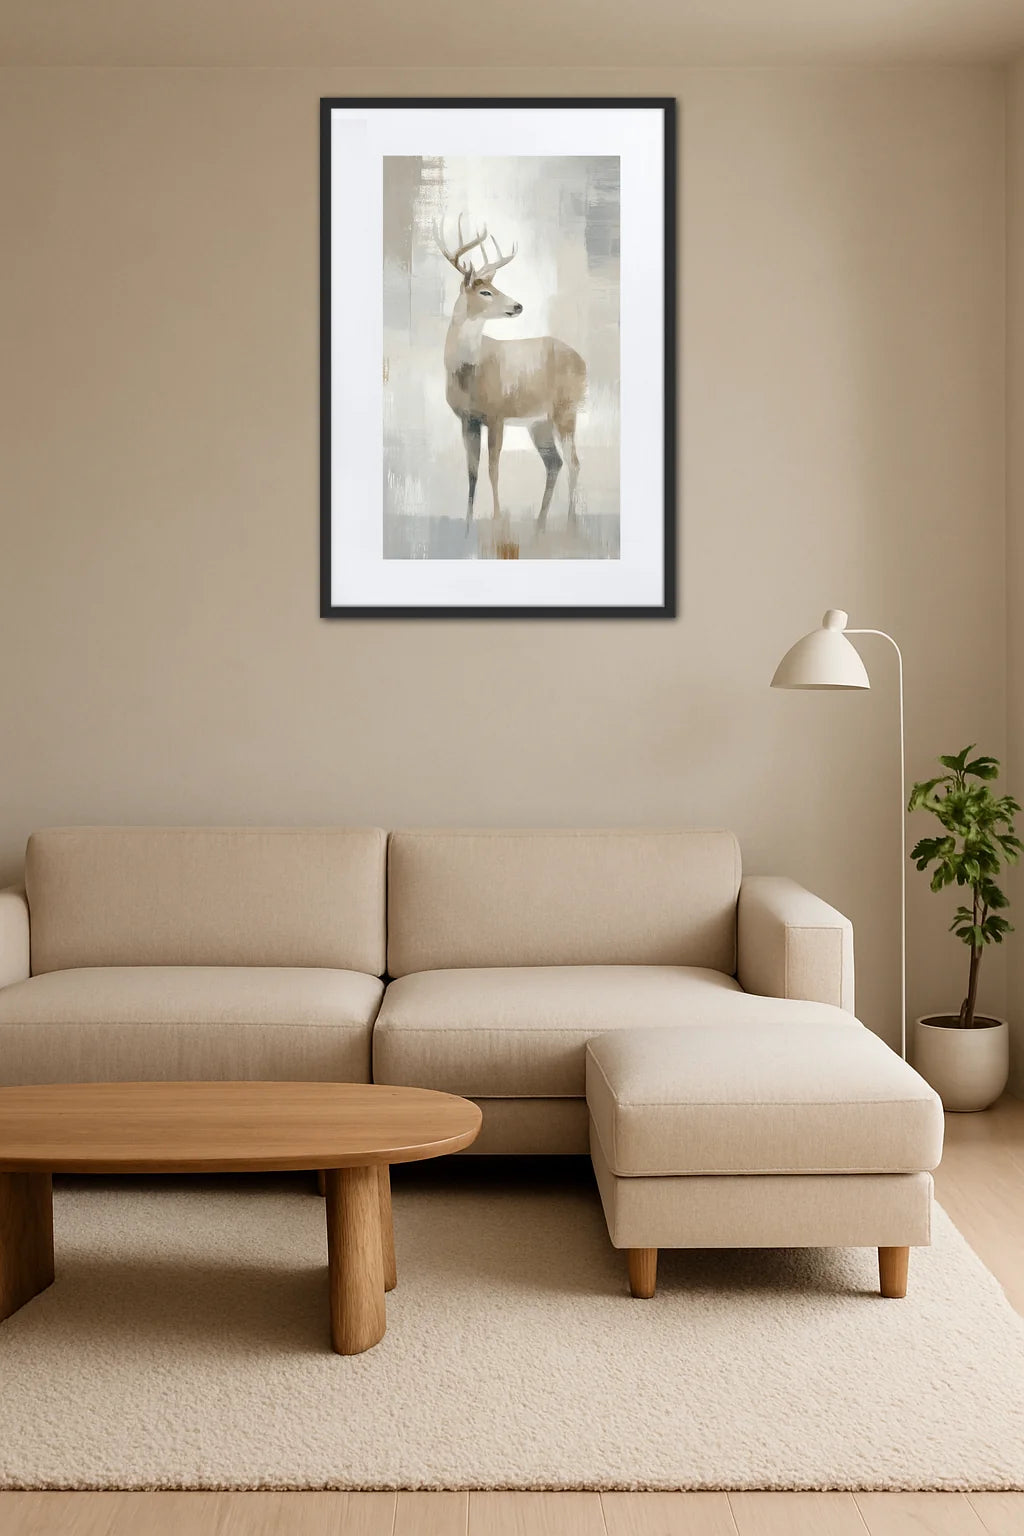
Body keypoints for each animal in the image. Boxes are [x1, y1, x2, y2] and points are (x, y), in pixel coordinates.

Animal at [437, 217, 587, 526]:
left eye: (494, 288)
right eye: (485, 291)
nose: (517, 305)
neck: (468, 371)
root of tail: (583, 362)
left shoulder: (496, 415)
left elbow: (493, 468)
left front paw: (496, 518)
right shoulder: (467, 419)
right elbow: (472, 472)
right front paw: (468, 522)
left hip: (566, 409)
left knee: (574, 462)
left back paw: (570, 522)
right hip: (539, 422)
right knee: (555, 462)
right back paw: (540, 523)